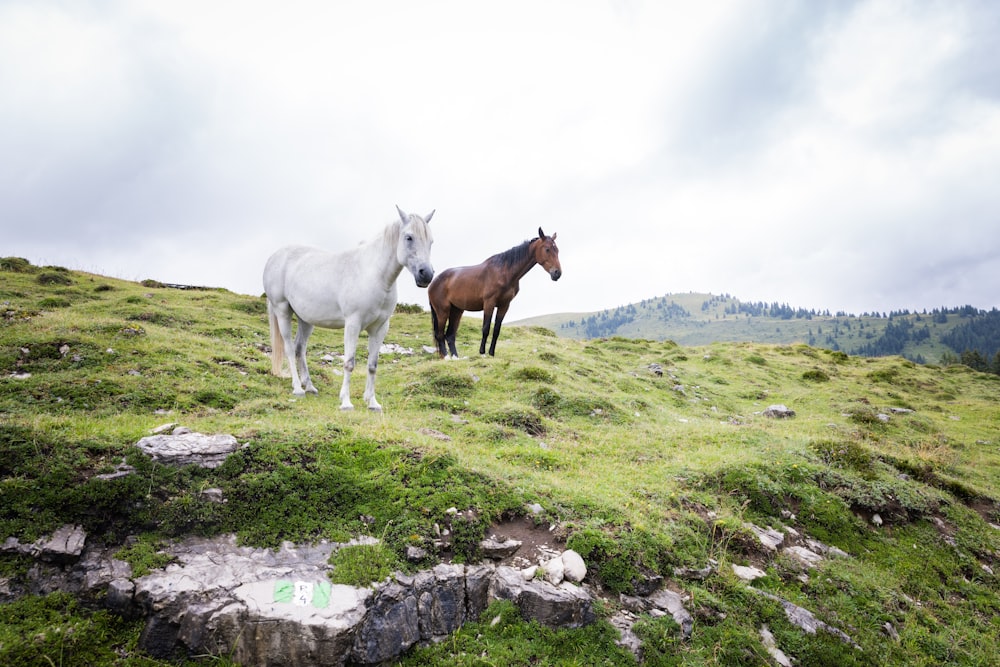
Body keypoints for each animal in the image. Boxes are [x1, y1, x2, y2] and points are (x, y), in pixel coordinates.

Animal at [264, 206, 436, 410]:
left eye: (431, 241)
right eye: (409, 237)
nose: (426, 275)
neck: (374, 275)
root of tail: (274, 257)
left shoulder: (380, 328)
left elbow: (372, 365)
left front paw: (373, 403)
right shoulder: (353, 324)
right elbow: (349, 363)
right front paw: (346, 402)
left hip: (305, 319)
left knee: (300, 348)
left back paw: (310, 387)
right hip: (282, 310)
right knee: (290, 348)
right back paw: (298, 388)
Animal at [426, 228, 560, 358]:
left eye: (557, 250)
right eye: (547, 249)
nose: (557, 273)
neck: (504, 273)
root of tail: (433, 282)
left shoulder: (504, 305)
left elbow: (496, 330)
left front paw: (491, 353)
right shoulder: (489, 303)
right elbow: (486, 328)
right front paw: (482, 352)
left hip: (457, 311)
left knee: (450, 335)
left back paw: (455, 357)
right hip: (443, 311)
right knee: (440, 334)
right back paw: (446, 356)